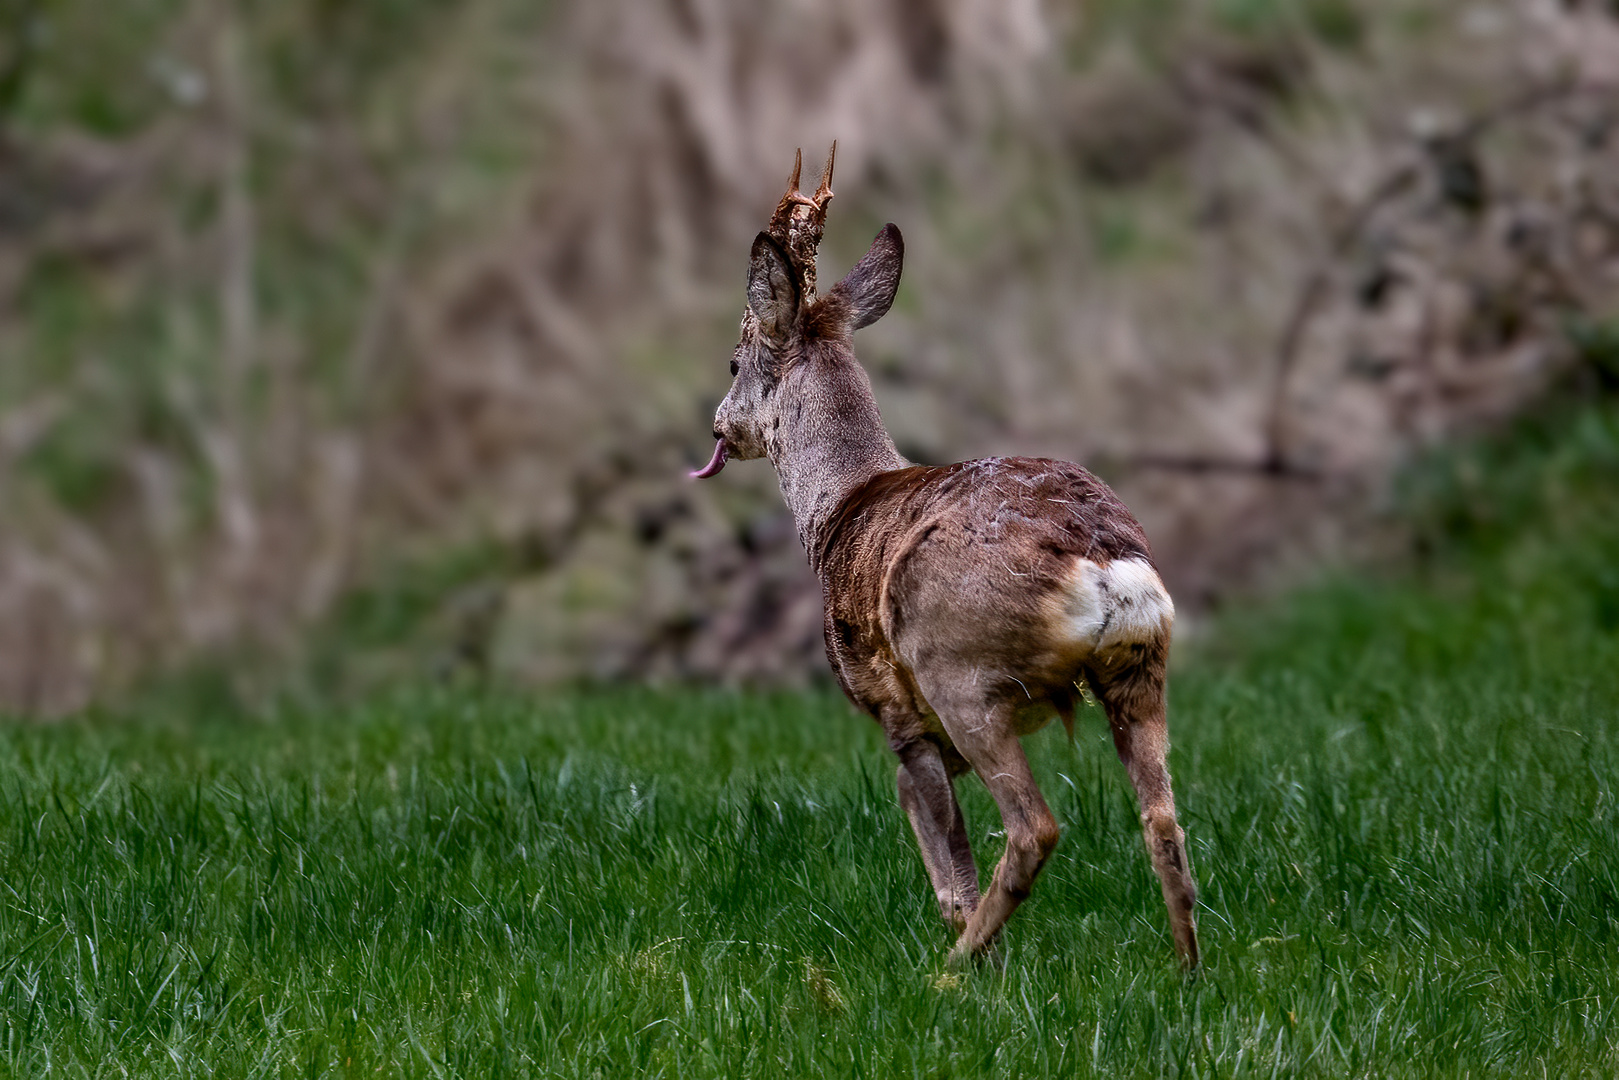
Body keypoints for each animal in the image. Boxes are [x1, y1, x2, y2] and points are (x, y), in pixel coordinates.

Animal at [689, 145, 1198, 971]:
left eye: (733, 361)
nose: (718, 426)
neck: (836, 508)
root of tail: (1097, 556)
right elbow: (918, 817)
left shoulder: (895, 706)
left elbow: (942, 843)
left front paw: (960, 934)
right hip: (1139, 666)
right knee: (1162, 820)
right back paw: (1187, 972)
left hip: (959, 670)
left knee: (1034, 827)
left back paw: (954, 971)